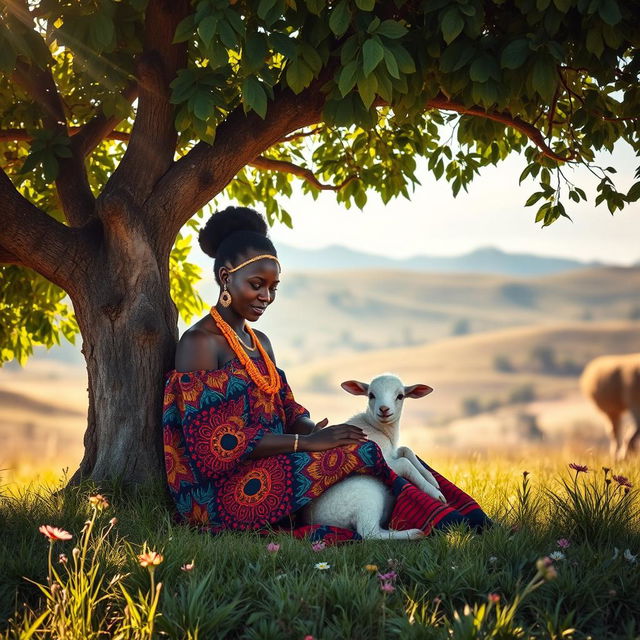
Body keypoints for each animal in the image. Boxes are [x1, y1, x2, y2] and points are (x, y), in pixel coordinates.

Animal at [300, 376, 444, 540]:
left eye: (400, 396)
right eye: (371, 395)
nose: (384, 409)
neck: (379, 429)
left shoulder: (392, 453)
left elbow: (406, 450)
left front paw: (431, 479)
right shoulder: (385, 462)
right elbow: (405, 462)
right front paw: (435, 493)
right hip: (366, 499)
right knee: (370, 534)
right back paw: (414, 533)